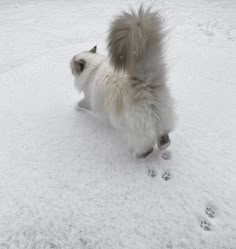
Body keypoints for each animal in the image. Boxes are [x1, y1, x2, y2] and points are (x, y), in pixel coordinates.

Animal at [70, 5, 175, 159]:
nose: (68, 65)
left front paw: (77, 108)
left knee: (146, 148)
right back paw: (163, 146)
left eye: (72, 65)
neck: (95, 67)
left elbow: (79, 104)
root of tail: (145, 84)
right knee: (164, 139)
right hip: (162, 119)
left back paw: (137, 155)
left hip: (136, 130)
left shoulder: (89, 99)